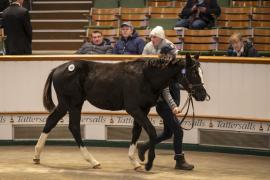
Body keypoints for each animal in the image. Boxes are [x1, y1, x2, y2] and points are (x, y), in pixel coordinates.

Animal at [33, 47, 207, 172]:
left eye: (201, 72)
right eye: (193, 73)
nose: (202, 95)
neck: (145, 77)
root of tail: (57, 69)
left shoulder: (142, 109)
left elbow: (136, 132)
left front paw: (135, 162)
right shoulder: (133, 108)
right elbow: (151, 131)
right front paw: (148, 163)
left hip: (66, 104)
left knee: (51, 121)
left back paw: (37, 156)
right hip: (73, 103)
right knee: (73, 127)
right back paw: (93, 161)